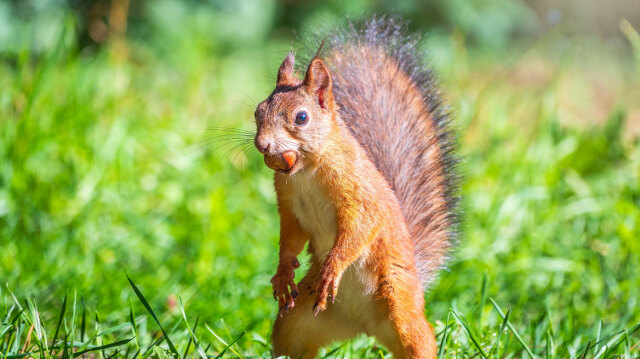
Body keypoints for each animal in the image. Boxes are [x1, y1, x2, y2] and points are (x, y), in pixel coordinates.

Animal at [250, 17, 456, 359]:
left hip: (399, 305)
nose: (262, 144)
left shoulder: (359, 193)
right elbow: (291, 236)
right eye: (257, 111)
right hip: (296, 321)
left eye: (302, 117)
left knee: (419, 339)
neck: (306, 171)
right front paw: (283, 273)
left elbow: (359, 230)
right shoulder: (288, 204)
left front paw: (333, 267)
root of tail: (363, 328)